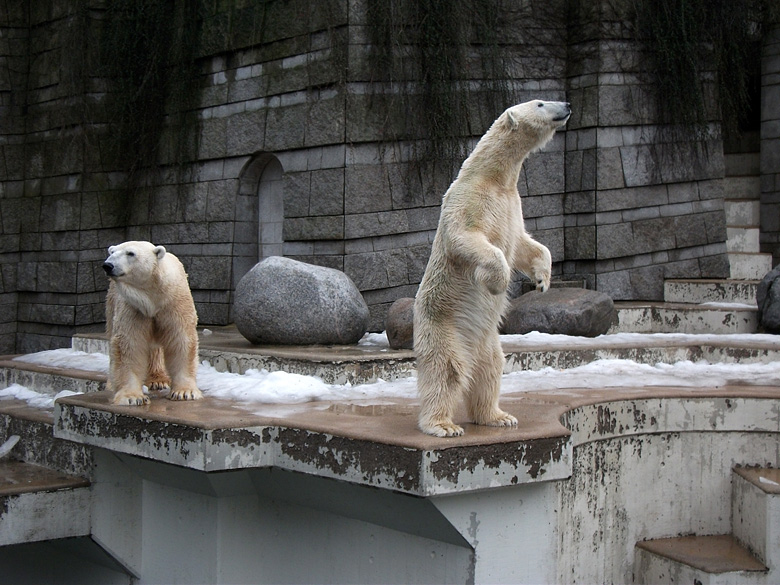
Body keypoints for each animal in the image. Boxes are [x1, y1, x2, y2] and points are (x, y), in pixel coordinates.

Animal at [102, 240, 201, 404]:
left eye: (130, 253)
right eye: (112, 252)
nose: (108, 265)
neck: (153, 298)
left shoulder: (175, 303)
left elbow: (181, 340)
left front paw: (184, 392)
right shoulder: (133, 307)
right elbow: (129, 344)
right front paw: (132, 397)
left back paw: (158, 380)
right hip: (111, 302)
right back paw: (111, 384)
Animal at [412, 100, 568, 436]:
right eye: (540, 103)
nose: (567, 105)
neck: (494, 178)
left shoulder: (511, 204)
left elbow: (523, 244)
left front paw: (542, 280)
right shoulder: (468, 200)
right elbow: (465, 237)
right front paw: (497, 282)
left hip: (487, 340)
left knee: (491, 369)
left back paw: (498, 416)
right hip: (443, 327)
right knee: (447, 371)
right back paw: (443, 425)